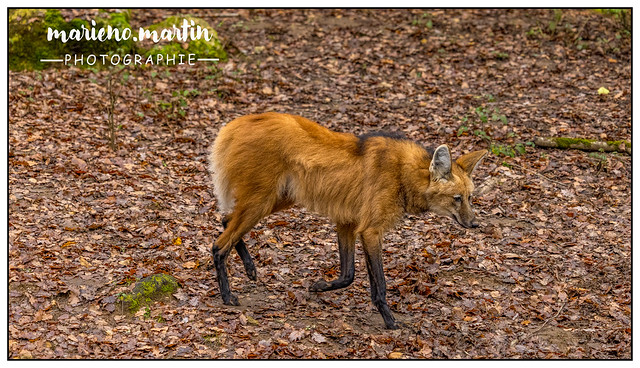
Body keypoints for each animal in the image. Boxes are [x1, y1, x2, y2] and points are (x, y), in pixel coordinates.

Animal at [208, 111, 488, 328]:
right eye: (456, 198)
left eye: (470, 197)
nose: (474, 224)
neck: (403, 174)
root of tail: (238, 123)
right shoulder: (370, 230)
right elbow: (379, 282)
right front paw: (390, 321)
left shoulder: (348, 223)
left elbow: (349, 274)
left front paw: (319, 286)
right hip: (262, 200)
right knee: (218, 245)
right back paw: (228, 296)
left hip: (279, 198)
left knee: (226, 220)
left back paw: (250, 268)